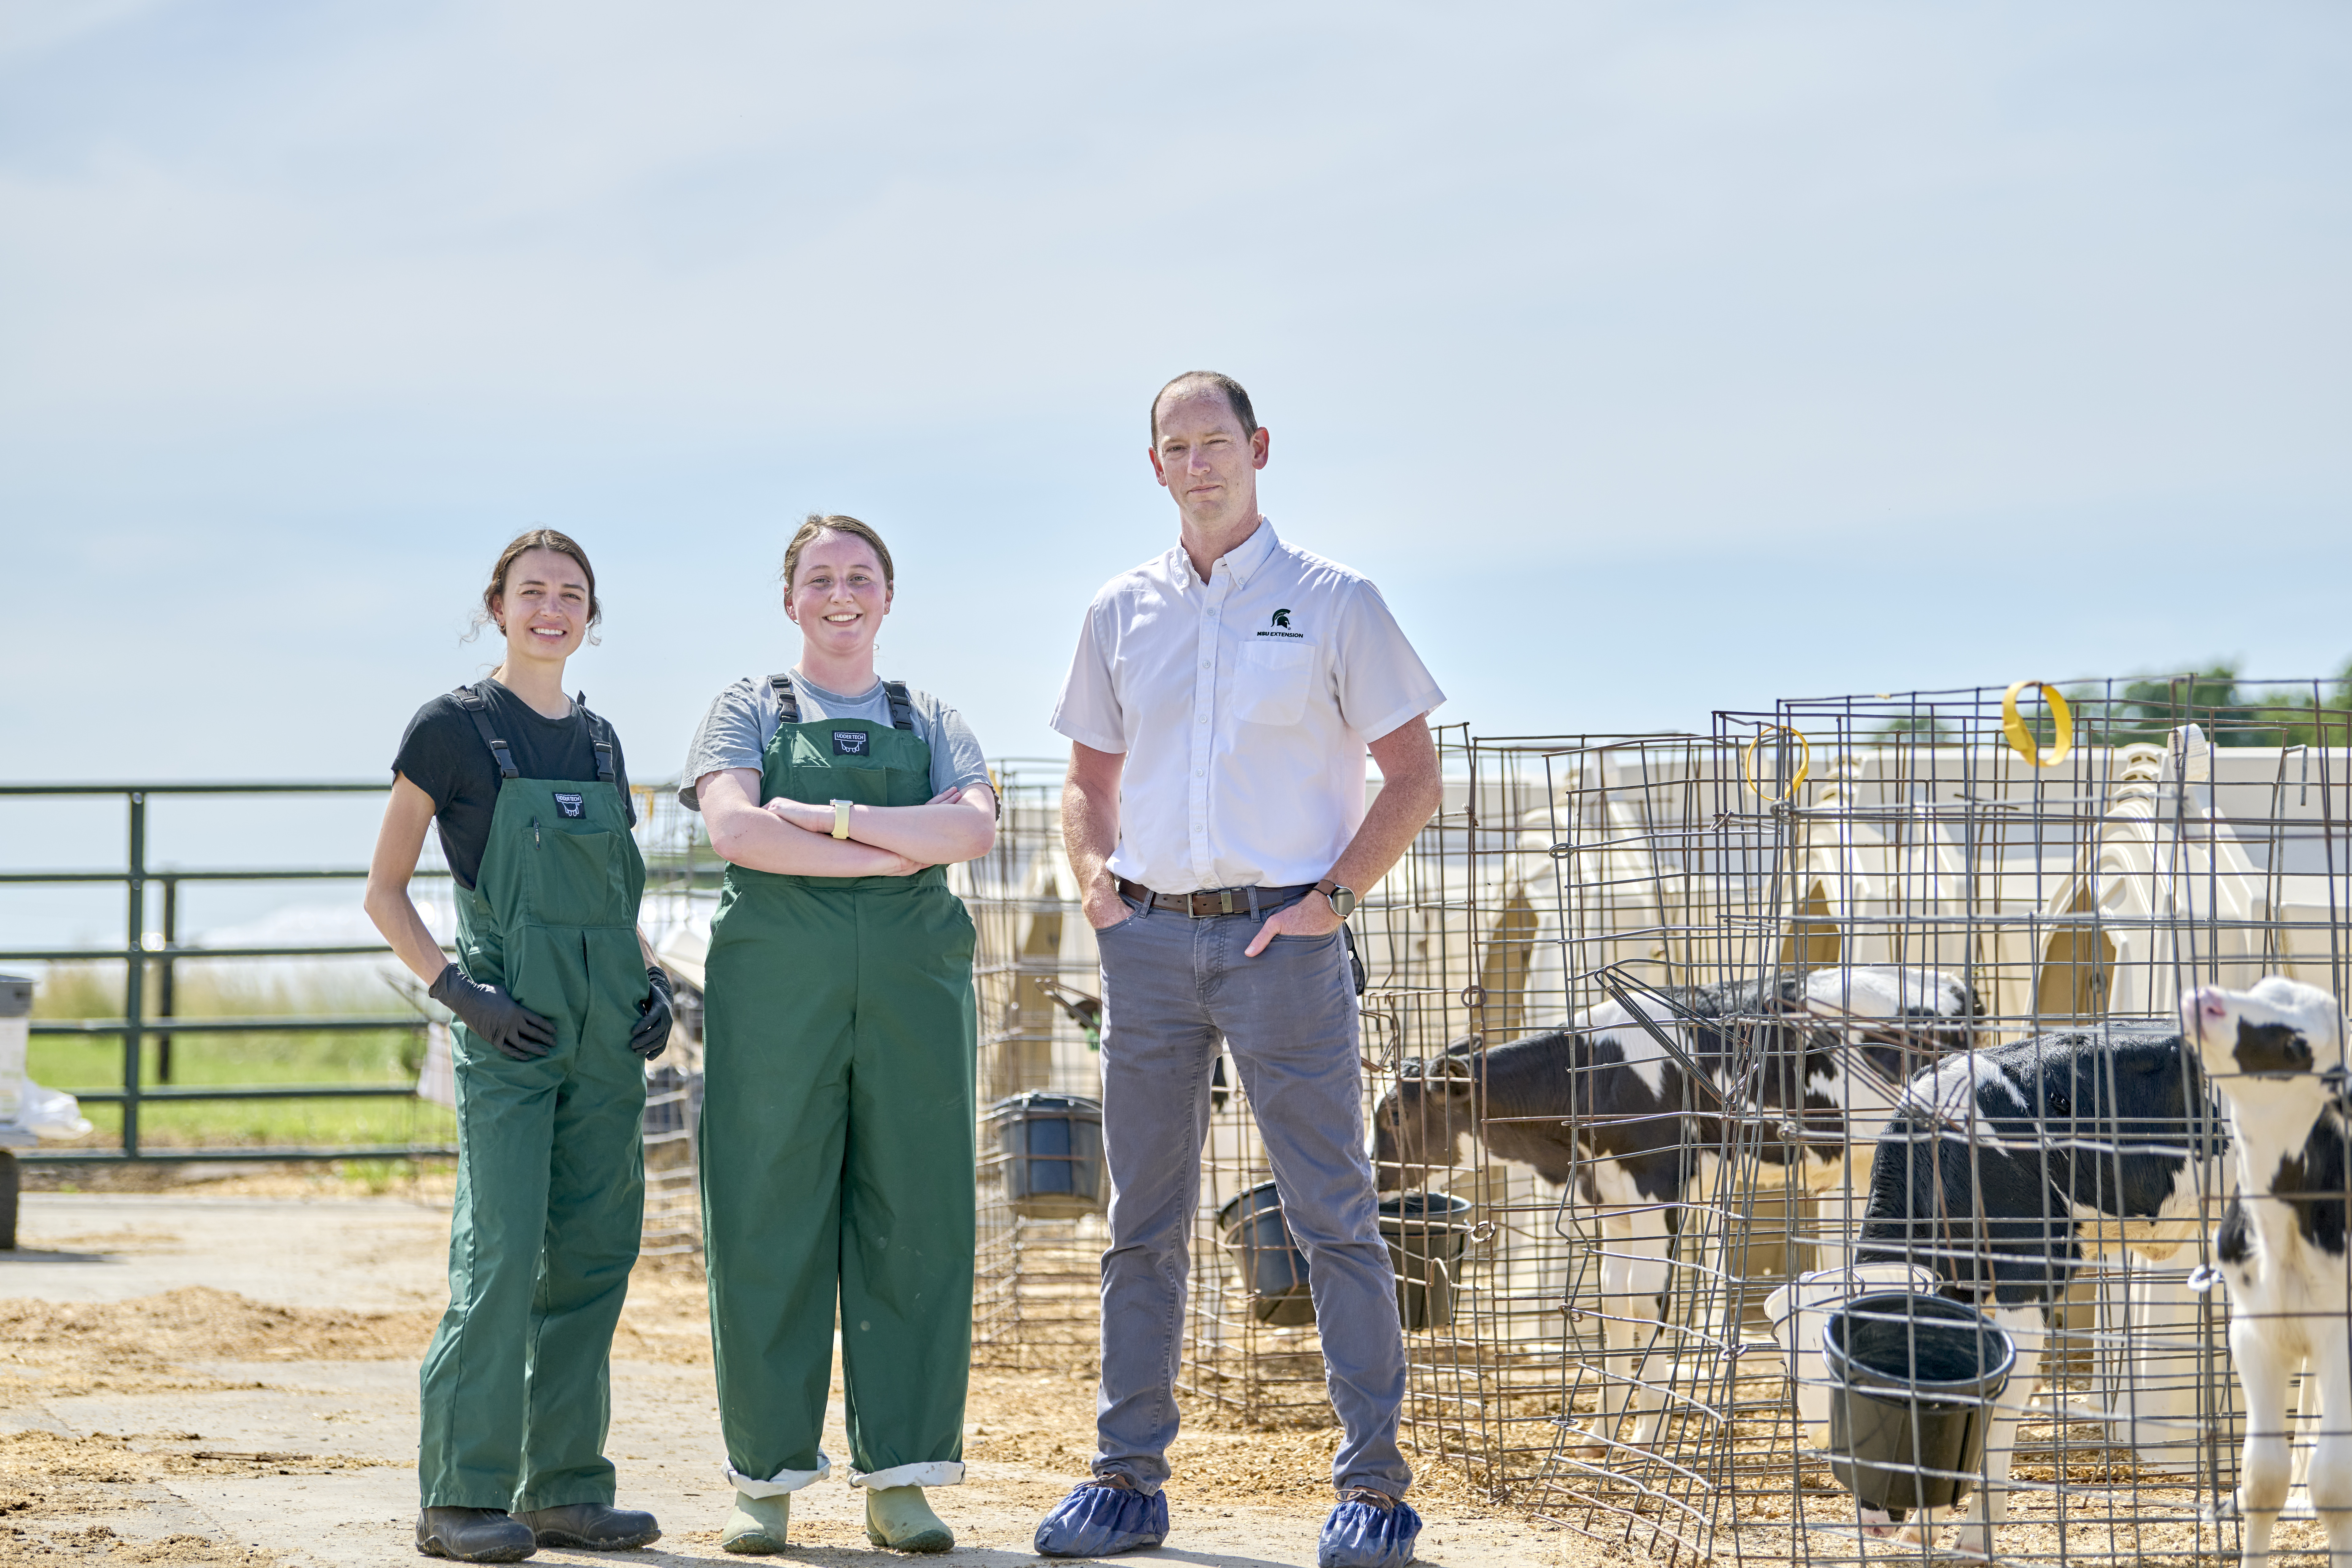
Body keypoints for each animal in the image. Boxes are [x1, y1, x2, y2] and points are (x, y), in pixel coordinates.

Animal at [1373, 969, 1976, 1457]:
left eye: (1395, 1114)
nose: (1374, 1178)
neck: (1593, 1075)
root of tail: (1949, 985)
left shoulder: (1658, 1193)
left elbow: (1651, 1306)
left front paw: (1647, 1435)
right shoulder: (1611, 1204)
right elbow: (1614, 1309)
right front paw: (1600, 1432)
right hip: (1851, 1176)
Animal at [2173, 973, 2342, 1561]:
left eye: (2295, 1047)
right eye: (2265, 984)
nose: (2205, 999)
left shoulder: (2341, 1338)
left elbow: (2333, 1482)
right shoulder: (2253, 1333)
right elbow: (2262, 1480)